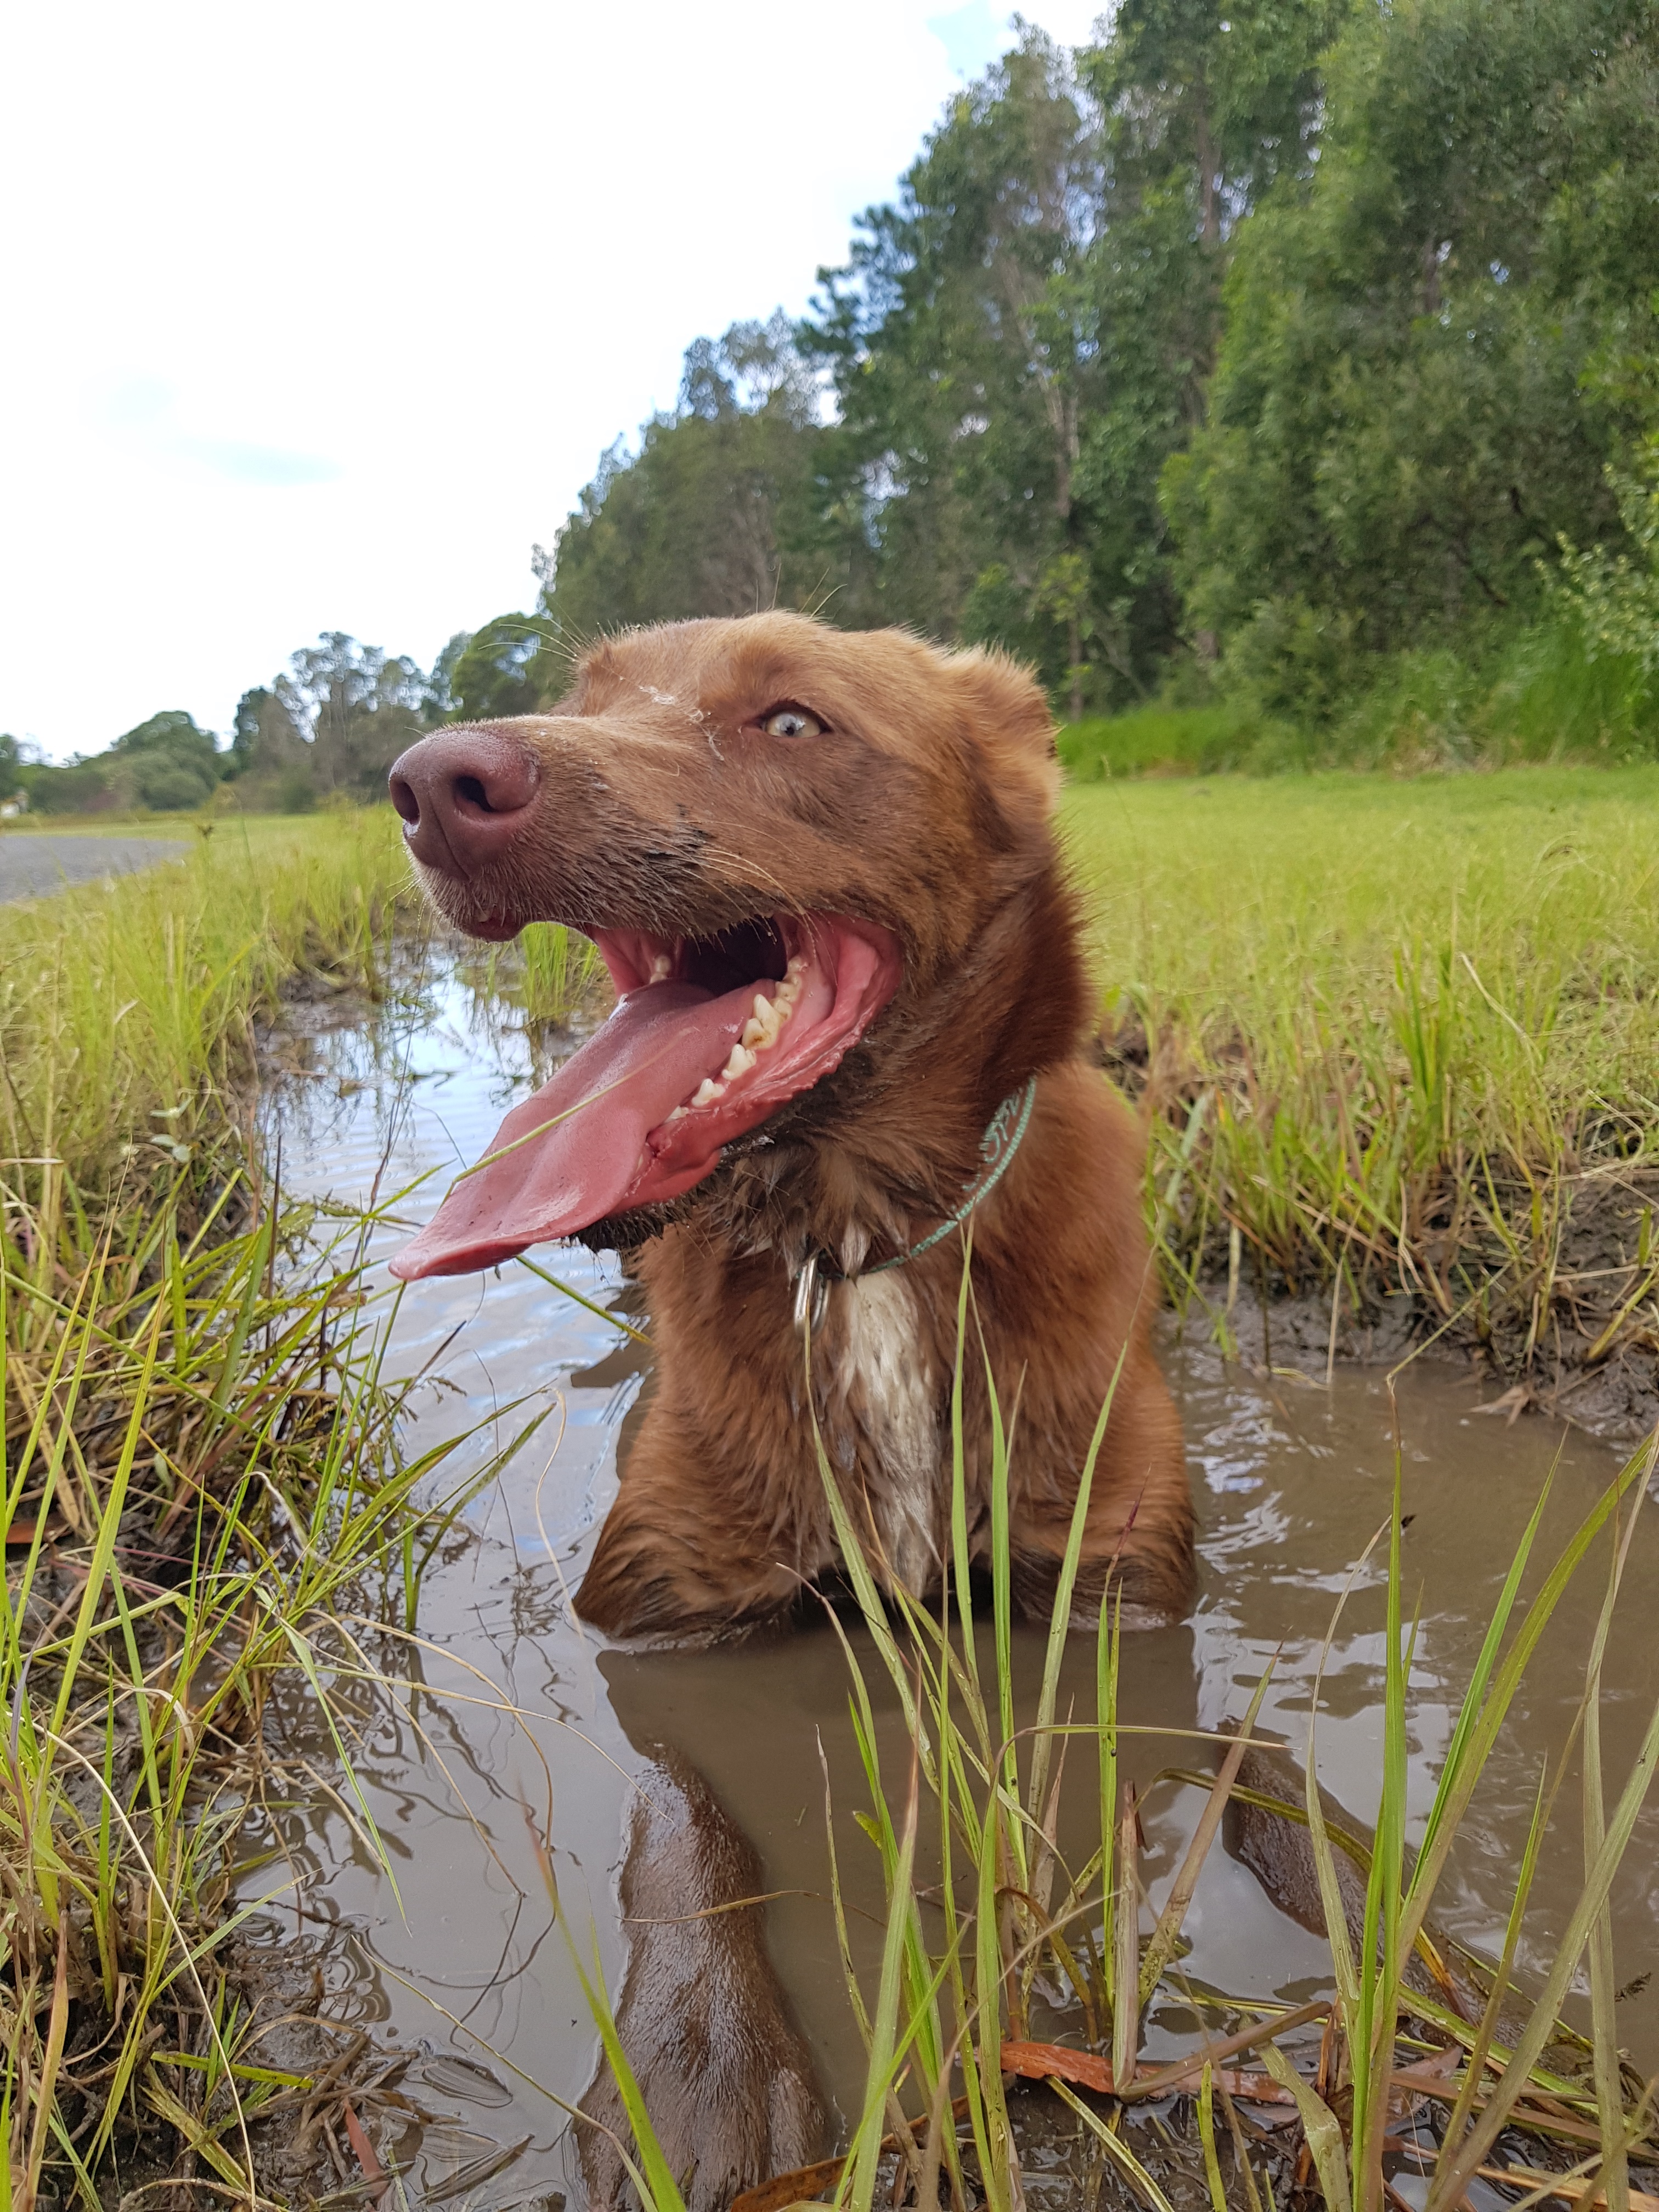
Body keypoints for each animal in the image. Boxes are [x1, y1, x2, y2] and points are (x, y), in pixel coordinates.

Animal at [389, 610, 1194, 1645]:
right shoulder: (663, 1596)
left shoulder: (1114, 1570)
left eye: (790, 723)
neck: (860, 1245)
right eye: (585, 703)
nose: (430, 785)